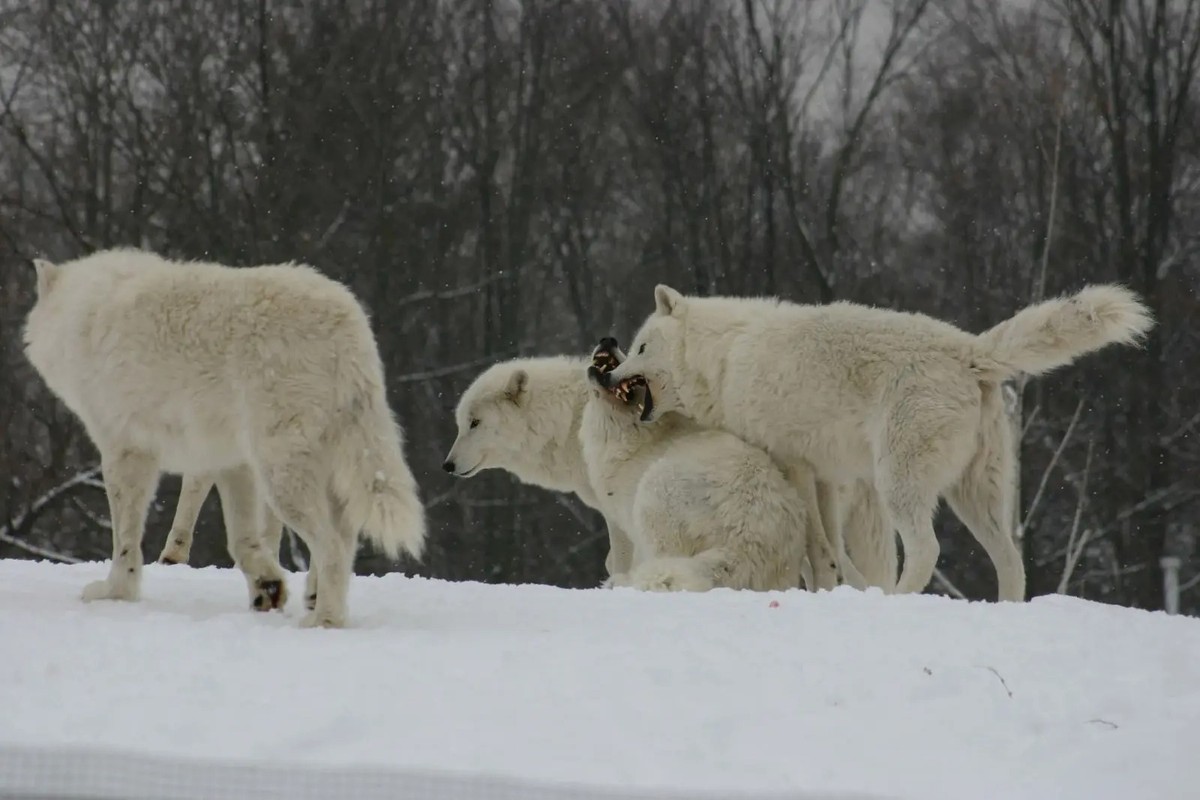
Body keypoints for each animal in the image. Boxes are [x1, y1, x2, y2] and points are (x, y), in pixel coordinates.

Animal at [22, 247, 427, 628]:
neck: (82, 316)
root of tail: (347, 325)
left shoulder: (126, 452)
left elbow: (125, 538)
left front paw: (115, 592)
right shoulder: (232, 463)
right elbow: (243, 539)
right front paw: (266, 587)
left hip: (282, 477)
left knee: (332, 547)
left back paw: (325, 620)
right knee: (345, 538)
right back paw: (317, 601)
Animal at [604, 281, 1156, 599]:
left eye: (641, 347)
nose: (610, 377)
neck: (725, 356)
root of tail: (970, 351)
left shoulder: (793, 464)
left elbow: (819, 547)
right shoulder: (825, 476)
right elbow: (825, 549)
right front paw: (827, 590)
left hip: (899, 484)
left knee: (927, 549)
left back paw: (894, 601)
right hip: (976, 496)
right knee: (1010, 561)